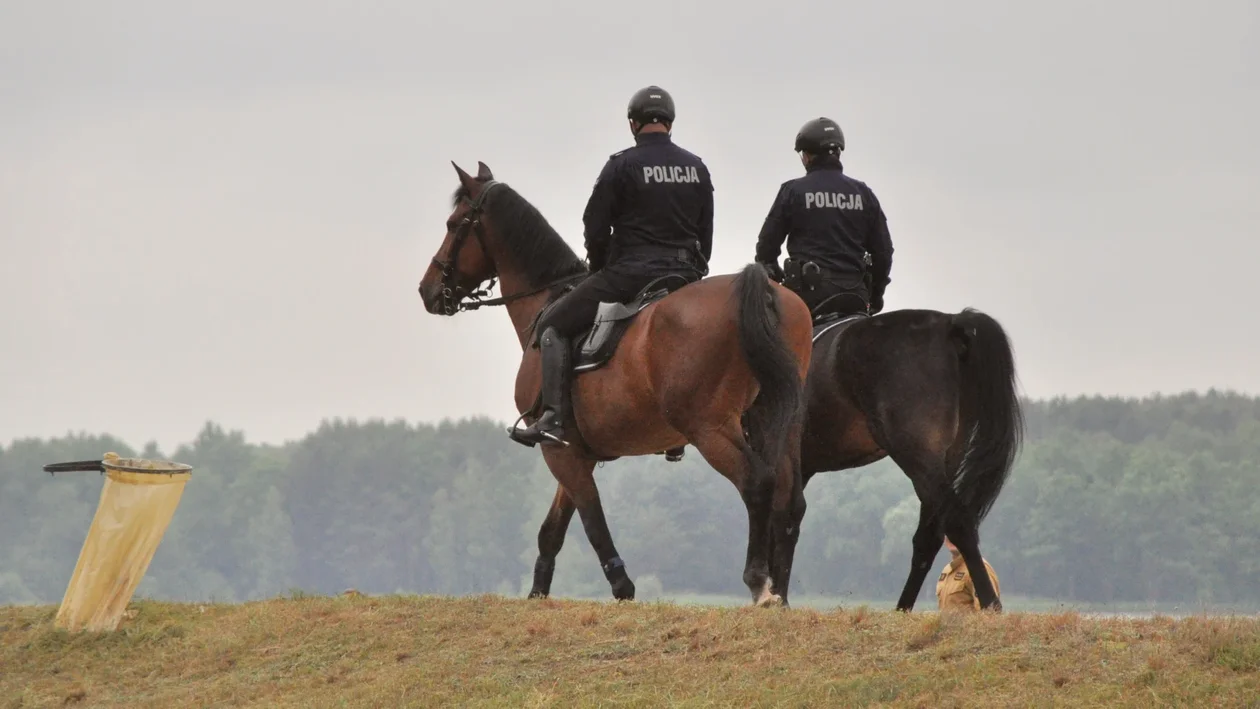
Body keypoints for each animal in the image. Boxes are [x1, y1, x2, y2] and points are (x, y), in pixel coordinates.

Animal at [418, 163, 811, 606]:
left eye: (454, 224)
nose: (427, 290)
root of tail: (760, 287)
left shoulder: (557, 450)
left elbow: (592, 520)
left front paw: (622, 587)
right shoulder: (575, 450)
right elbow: (551, 531)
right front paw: (538, 594)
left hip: (710, 428)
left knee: (756, 483)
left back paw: (758, 582)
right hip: (779, 422)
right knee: (788, 496)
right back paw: (779, 591)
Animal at [766, 308, 1023, 612]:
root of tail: (951, 324)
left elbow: (781, 516)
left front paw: (774, 598)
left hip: (916, 455)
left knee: (957, 521)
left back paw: (990, 603)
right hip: (944, 458)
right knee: (931, 534)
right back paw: (903, 609)